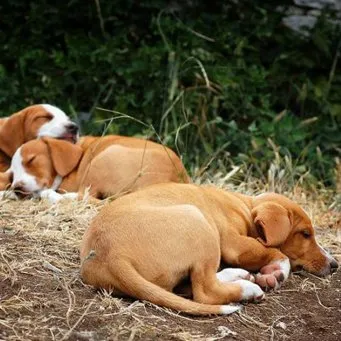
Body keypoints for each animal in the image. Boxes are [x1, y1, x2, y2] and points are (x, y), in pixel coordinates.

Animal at [79, 183, 338, 316]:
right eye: (305, 234)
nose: (335, 265)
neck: (246, 207)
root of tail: (111, 254)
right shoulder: (234, 244)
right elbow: (279, 254)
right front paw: (275, 272)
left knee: (190, 286)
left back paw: (239, 275)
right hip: (199, 222)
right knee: (205, 290)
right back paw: (248, 288)